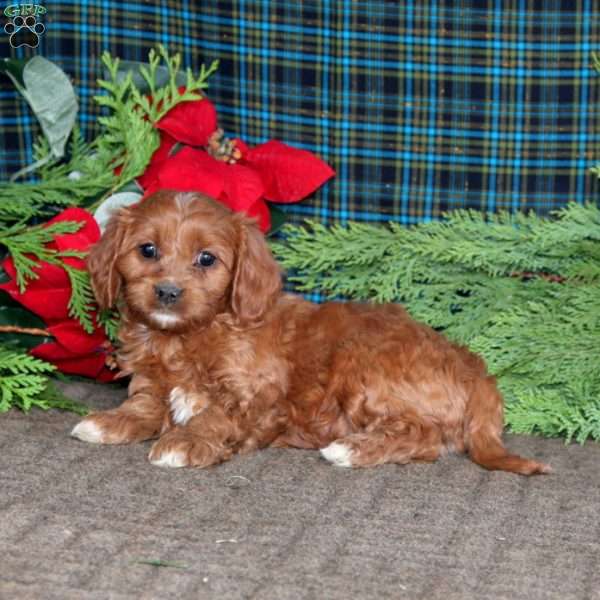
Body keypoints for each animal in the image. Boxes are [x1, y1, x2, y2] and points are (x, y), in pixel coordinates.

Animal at [71, 190, 548, 476]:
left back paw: (349, 449)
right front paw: (110, 421)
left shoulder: (261, 398)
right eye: (147, 250)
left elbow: (217, 414)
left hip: (363, 365)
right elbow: (145, 405)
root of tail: (474, 366)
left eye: (207, 259)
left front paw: (184, 441)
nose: (168, 292)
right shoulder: (151, 381)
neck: (183, 339)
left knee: (425, 437)